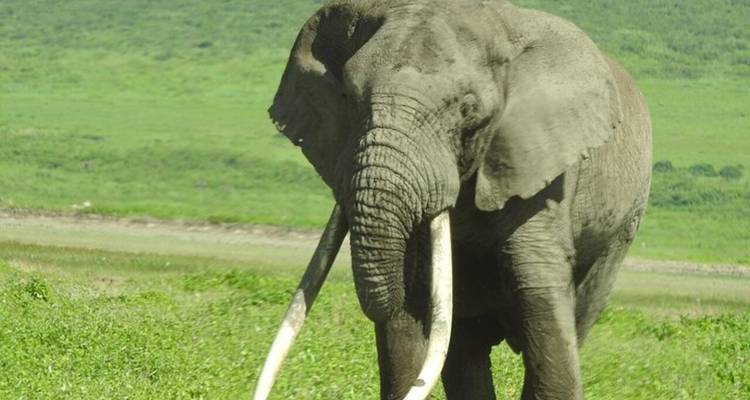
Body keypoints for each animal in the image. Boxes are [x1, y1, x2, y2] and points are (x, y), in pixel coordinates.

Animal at [254, 0, 652, 399]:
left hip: (623, 227)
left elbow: (537, 283)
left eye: (468, 110)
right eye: (349, 100)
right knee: (465, 347)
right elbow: (408, 296)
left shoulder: (543, 166)